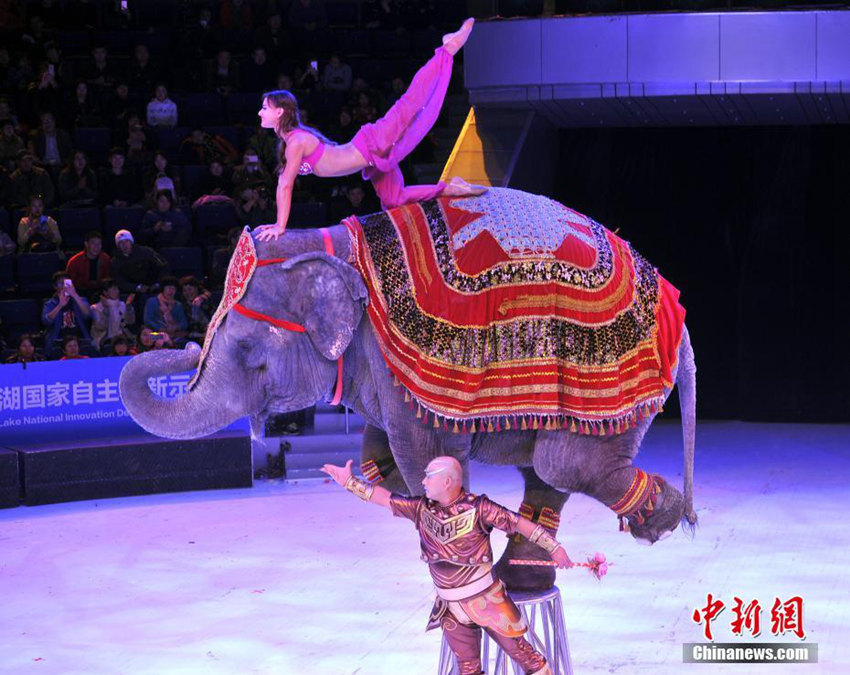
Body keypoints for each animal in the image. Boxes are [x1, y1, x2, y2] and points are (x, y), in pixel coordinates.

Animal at [121, 189, 696, 592]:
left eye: (246, 349)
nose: (177, 341)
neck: (327, 242)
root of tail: (675, 307)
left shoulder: (392, 356)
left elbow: (426, 457)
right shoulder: (386, 369)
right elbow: (383, 460)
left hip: (607, 386)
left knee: (564, 465)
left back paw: (660, 520)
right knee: (542, 470)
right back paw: (525, 576)